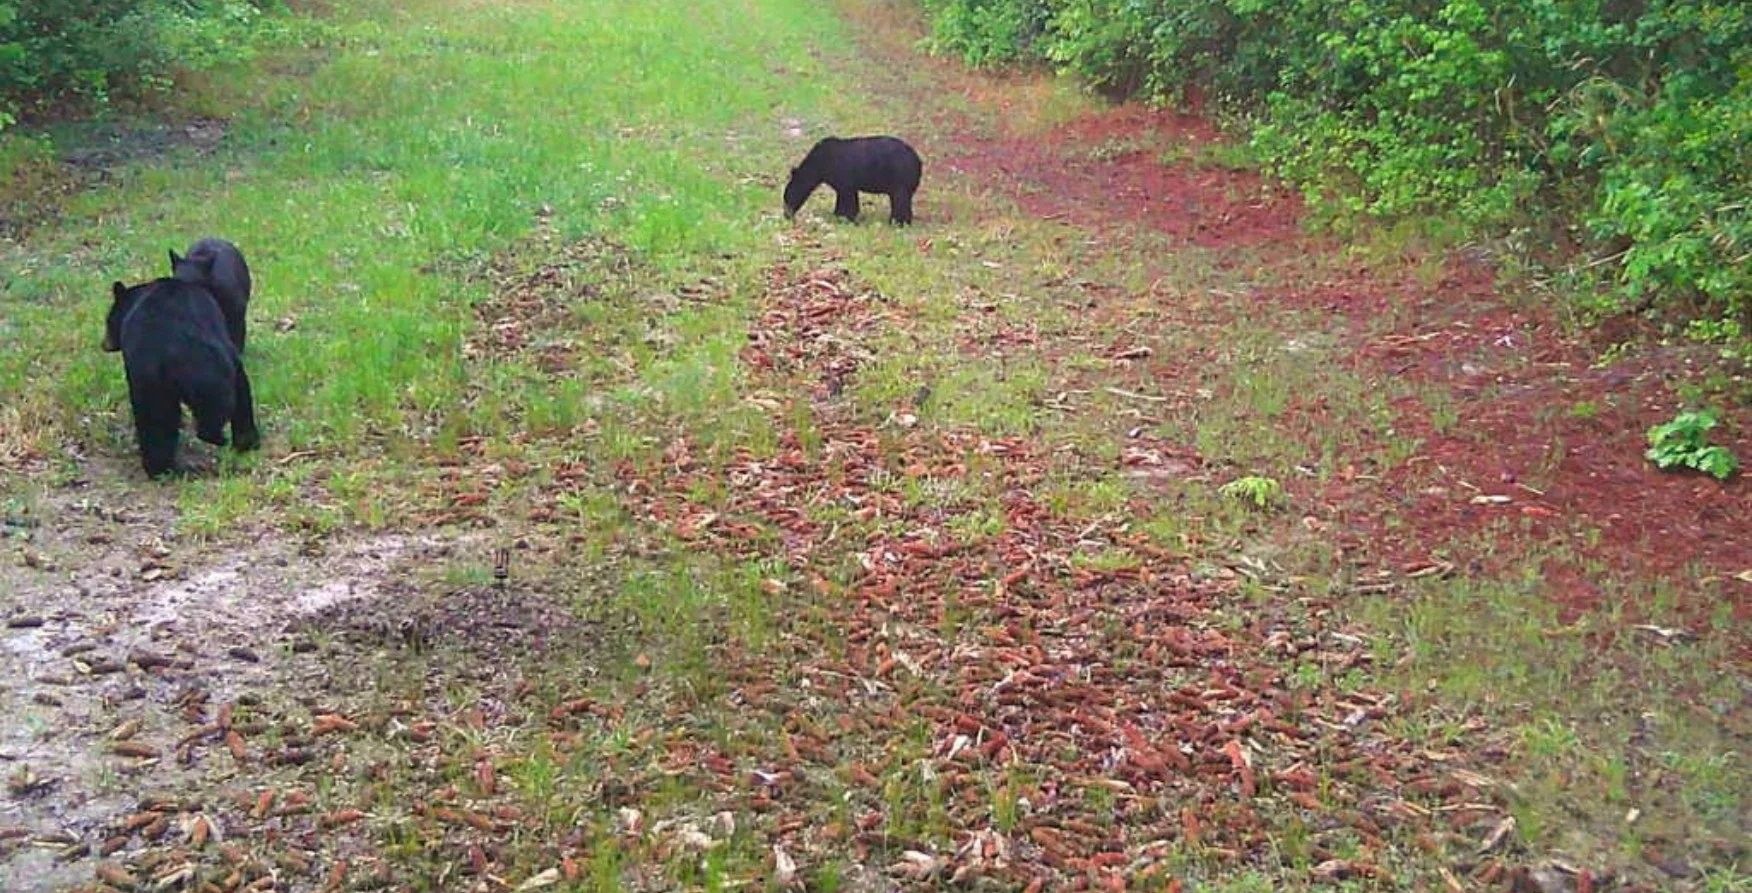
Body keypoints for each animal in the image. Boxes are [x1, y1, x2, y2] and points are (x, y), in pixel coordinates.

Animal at [103, 277, 261, 478]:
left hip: (150, 382)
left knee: (154, 420)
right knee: (222, 401)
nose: (104, 344)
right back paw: (224, 439)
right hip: (204, 368)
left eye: (107, 321)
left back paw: (161, 468)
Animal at [783, 136, 922, 225]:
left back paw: (897, 222)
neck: (820, 163)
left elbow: (847, 196)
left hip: (900, 176)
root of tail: (918, 160)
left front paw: (845, 217)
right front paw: (839, 215)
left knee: (900, 199)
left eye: (787, 197)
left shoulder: (843, 174)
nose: (786, 215)